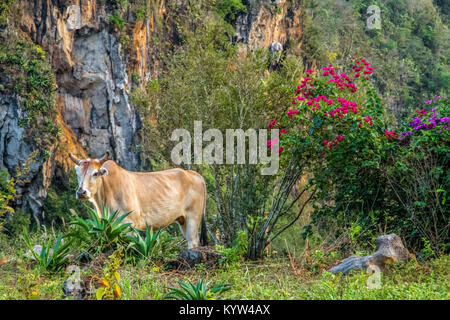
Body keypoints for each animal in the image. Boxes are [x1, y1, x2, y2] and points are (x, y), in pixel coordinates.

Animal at [68, 151, 207, 249]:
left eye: (95, 173)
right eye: (77, 174)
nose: (81, 192)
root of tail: (195, 174)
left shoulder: (128, 224)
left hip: (193, 216)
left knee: (193, 241)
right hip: (182, 219)